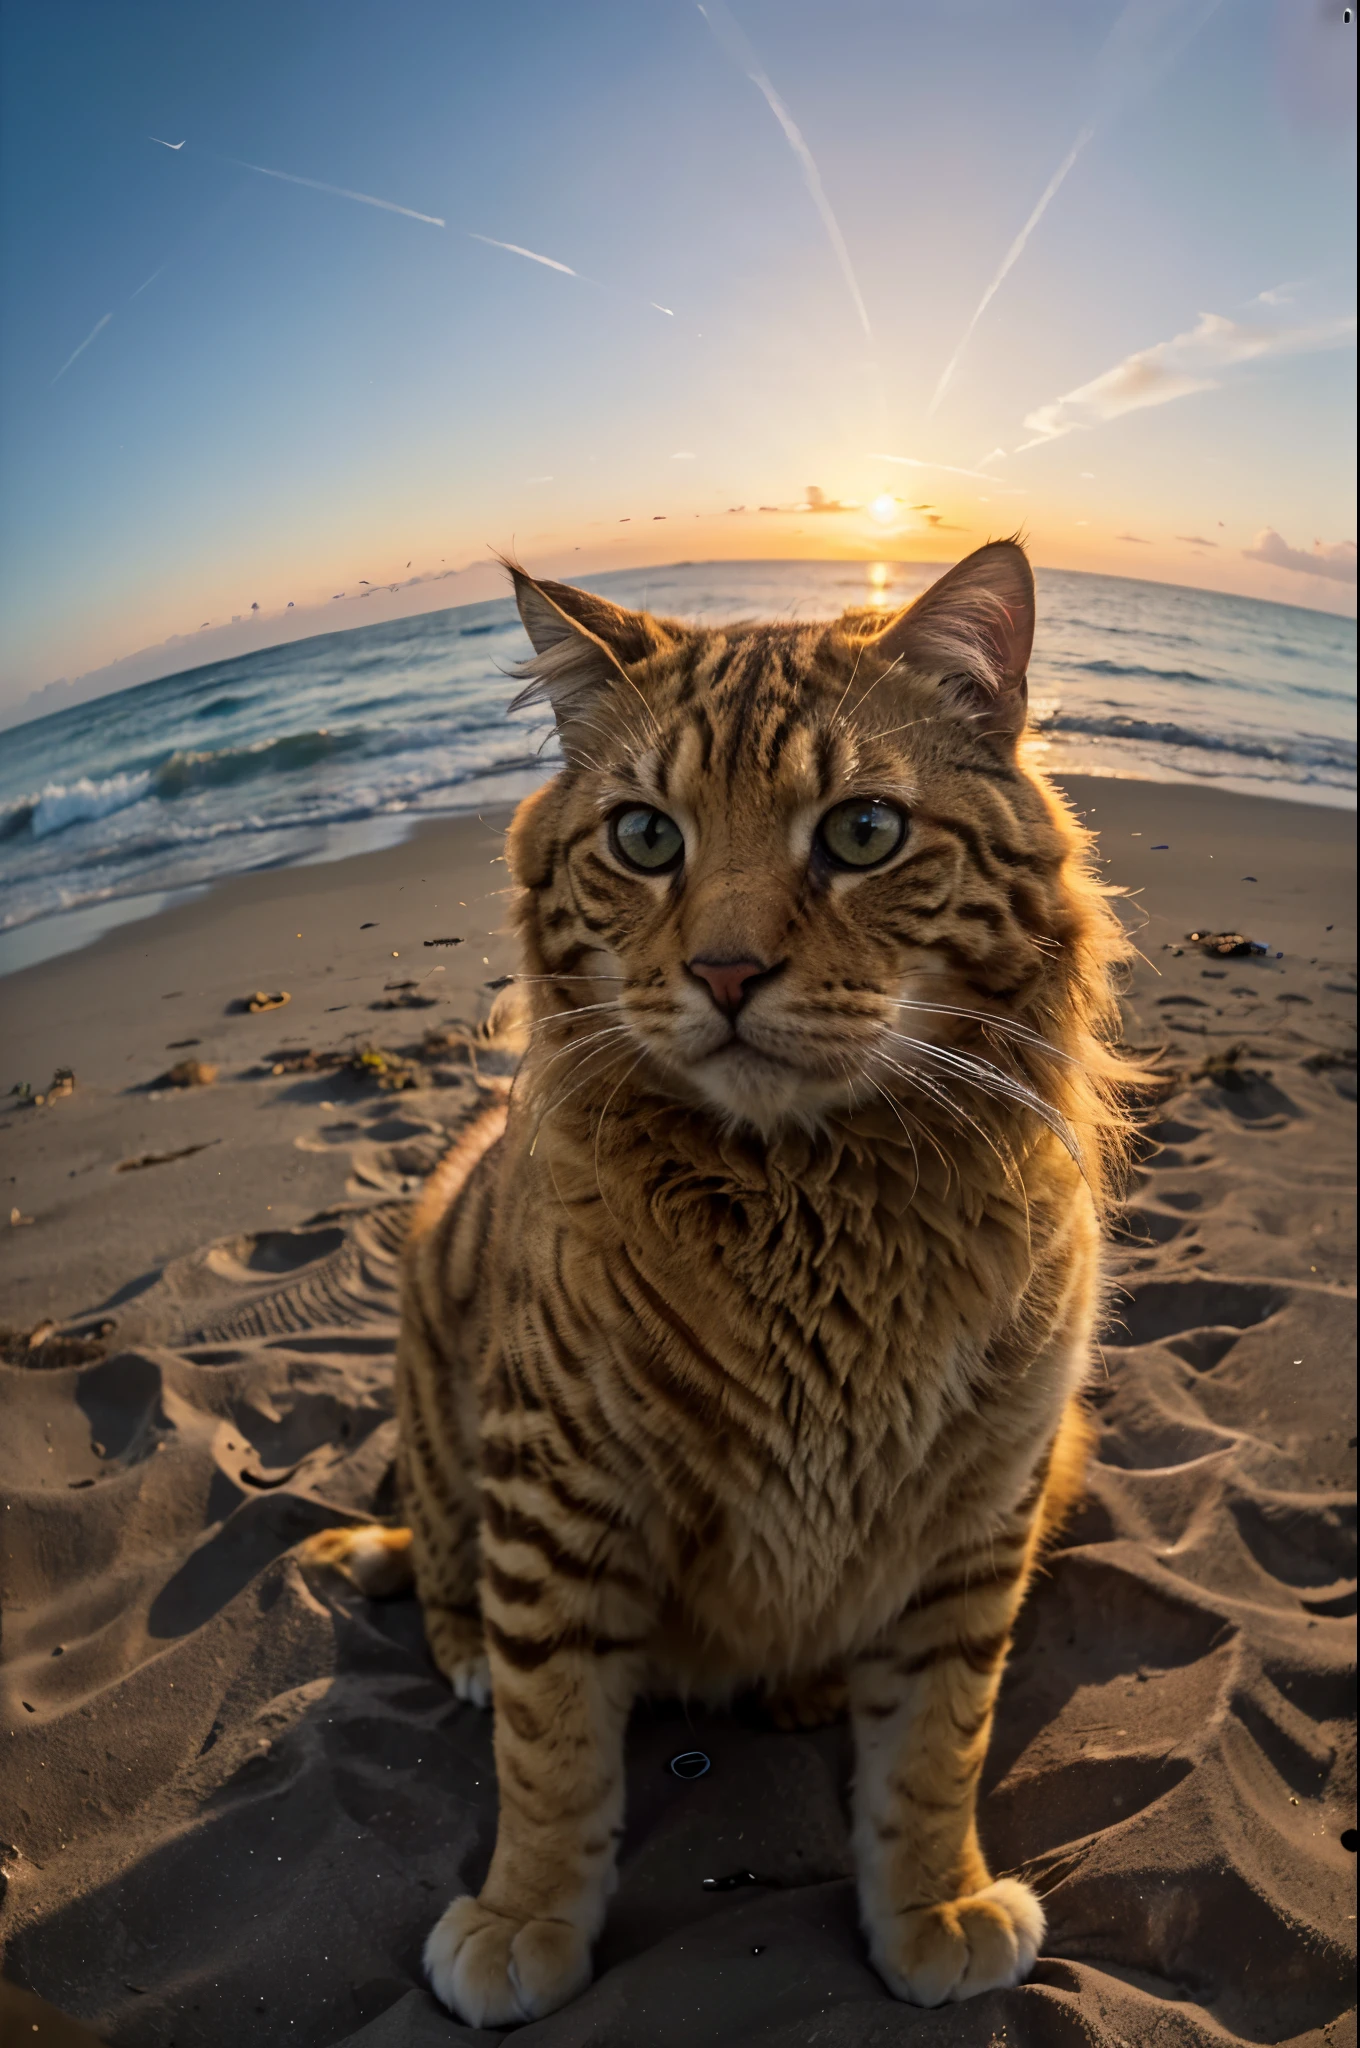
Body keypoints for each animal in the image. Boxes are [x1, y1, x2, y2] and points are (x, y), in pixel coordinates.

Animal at [311, 536, 1138, 2023]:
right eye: (646, 838)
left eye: (863, 832)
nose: (727, 969)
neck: (811, 1206)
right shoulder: (555, 1488)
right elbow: (551, 1745)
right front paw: (526, 1914)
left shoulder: (984, 1504)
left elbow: (939, 1740)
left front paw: (929, 1899)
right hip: (438, 1373)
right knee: (448, 1567)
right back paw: (462, 1648)